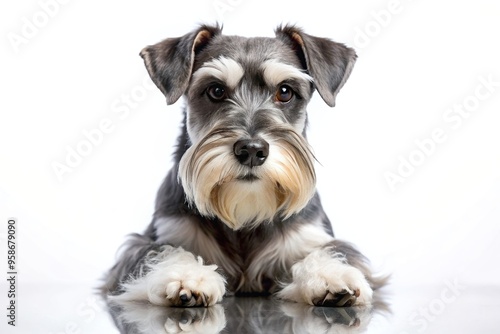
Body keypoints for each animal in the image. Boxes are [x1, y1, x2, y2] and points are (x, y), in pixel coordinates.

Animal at [100, 24, 382, 310]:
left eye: (285, 91)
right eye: (215, 90)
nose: (252, 150)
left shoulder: (309, 235)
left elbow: (331, 250)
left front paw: (330, 275)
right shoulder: (152, 240)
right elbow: (161, 252)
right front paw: (186, 276)